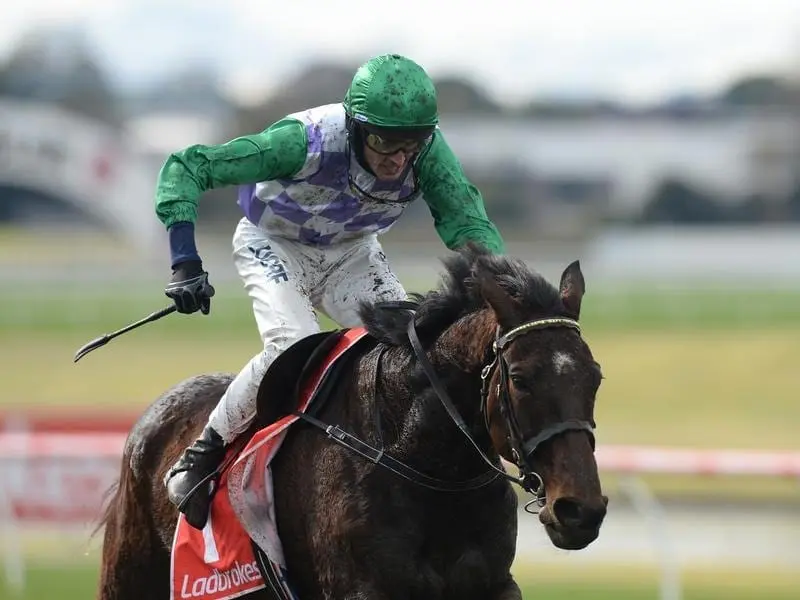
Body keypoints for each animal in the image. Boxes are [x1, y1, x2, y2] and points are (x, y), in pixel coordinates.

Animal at [97, 244, 608, 600]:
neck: (428, 468)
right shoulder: (361, 588)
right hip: (129, 574)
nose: (580, 510)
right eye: (519, 379)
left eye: (595, 376)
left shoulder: (492, 584)